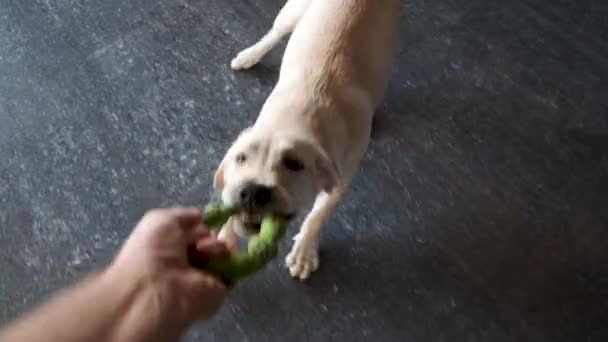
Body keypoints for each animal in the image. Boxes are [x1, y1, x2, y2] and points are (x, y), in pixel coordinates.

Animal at [213, 0, 400, 280]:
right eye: (241, 158)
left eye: (294, 164)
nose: (251, 192)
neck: (299, 117)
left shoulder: (340, 178)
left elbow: (318, 214)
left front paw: (304, 250)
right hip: (292, 14)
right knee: (275, 33)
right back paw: (250, 55)